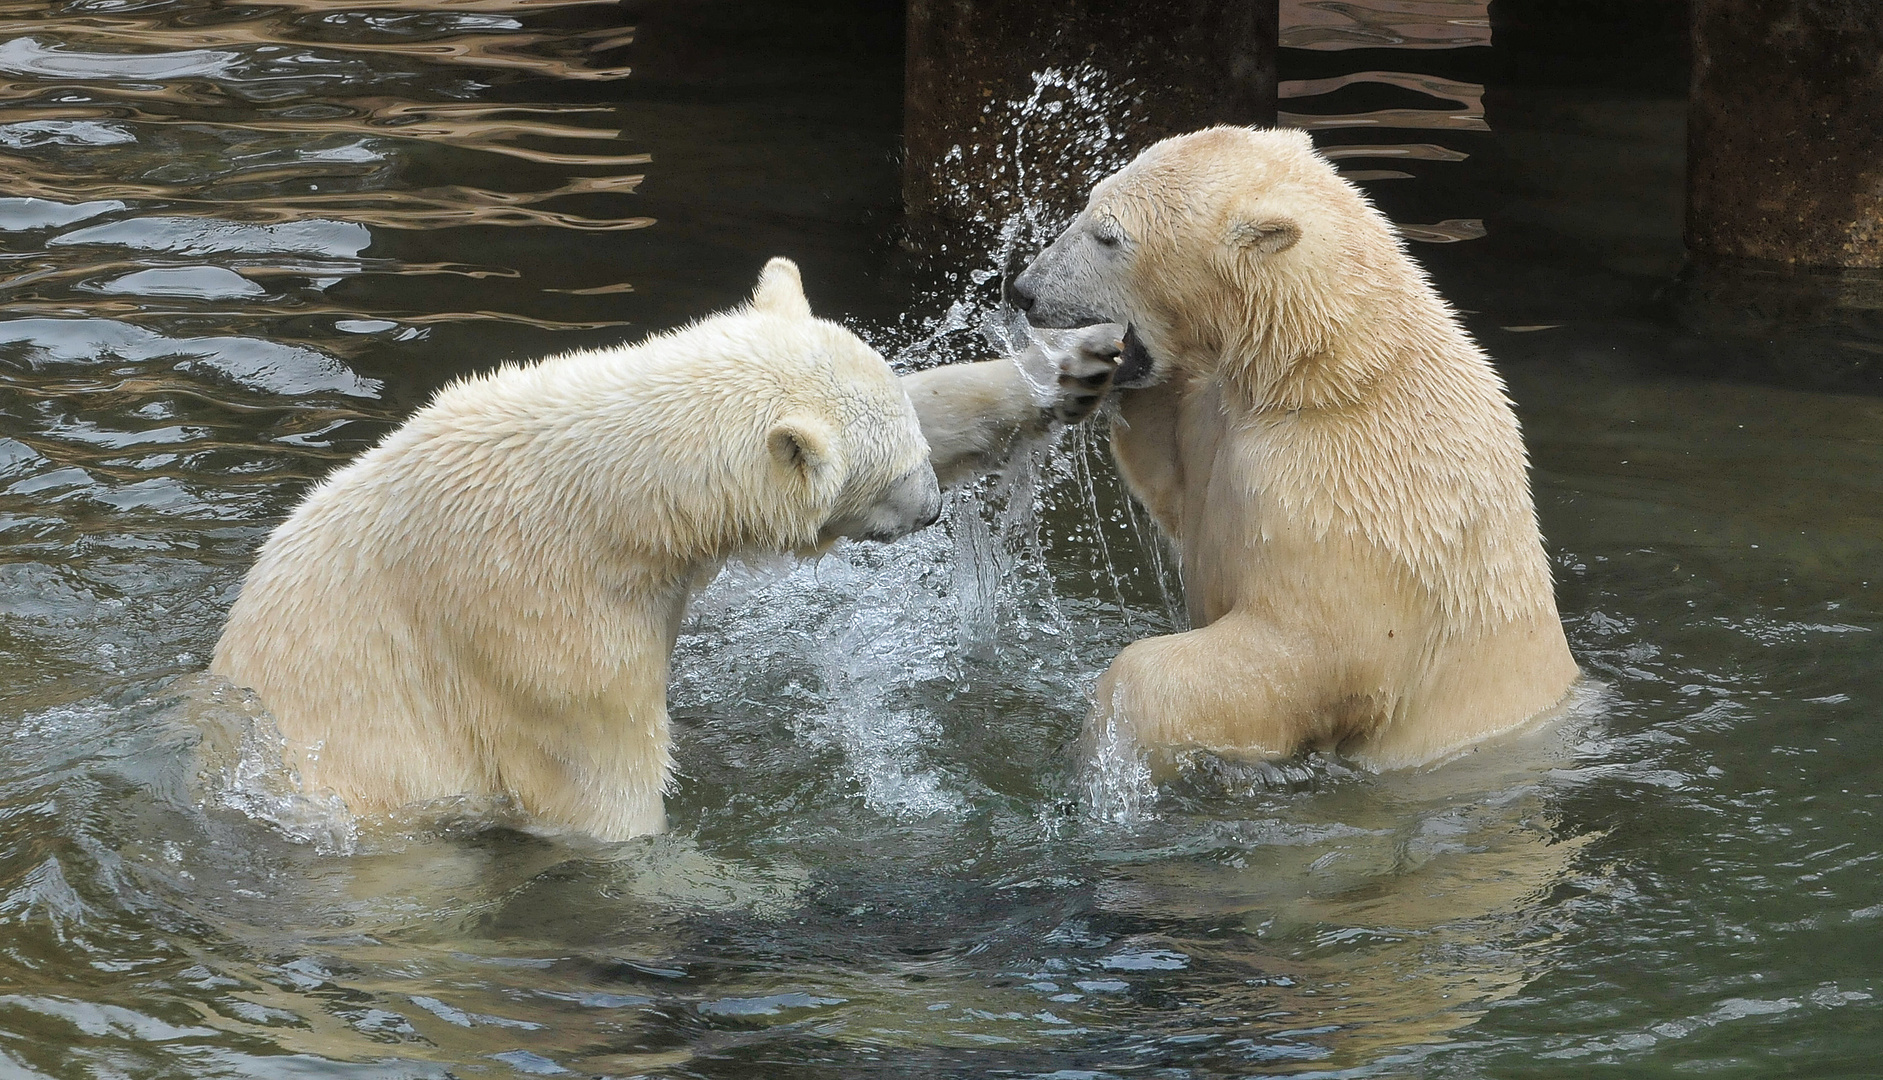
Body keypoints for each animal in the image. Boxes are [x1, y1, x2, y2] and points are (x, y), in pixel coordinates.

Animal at [209, 257, 1114, 842]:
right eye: (893, 474)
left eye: (917, 457)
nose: (930, 505)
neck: (598, 498)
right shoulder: (544, 633)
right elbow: (601, 800)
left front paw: (1068, 366)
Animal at [1009, 125, 1581, 771]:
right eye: (1087, 204)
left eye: (1108, 235)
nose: (1025, 290)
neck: (1326, 367)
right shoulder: (1221, 419)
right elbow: (1174, 477)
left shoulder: (1334, 491)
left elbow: (1308, 649)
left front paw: (1113, 739)